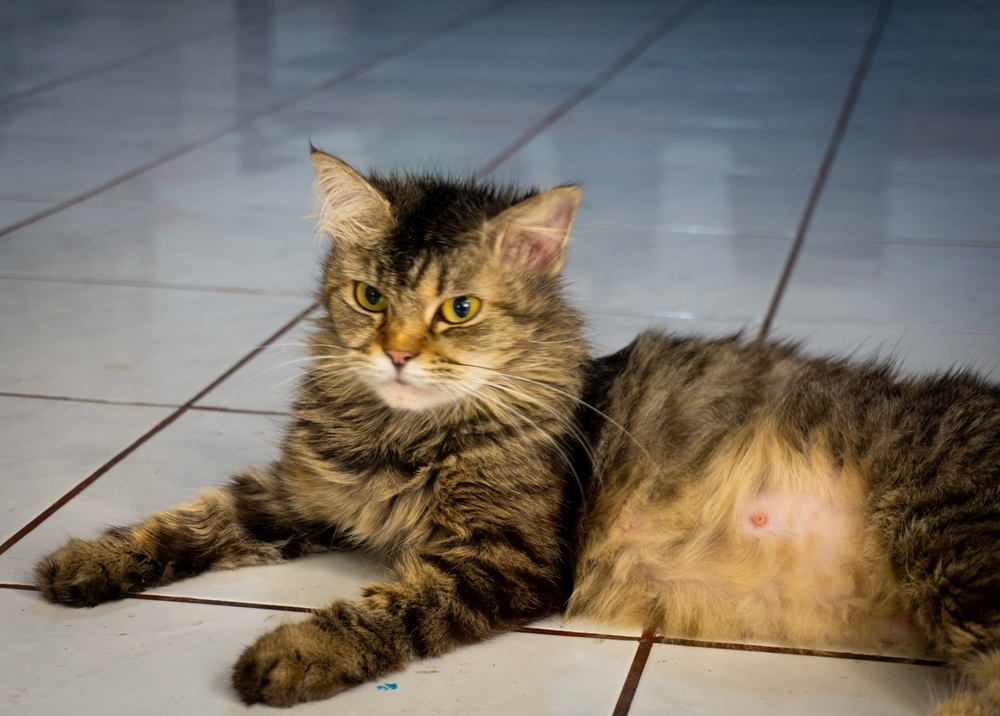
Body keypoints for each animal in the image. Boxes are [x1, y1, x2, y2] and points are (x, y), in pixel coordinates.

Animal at [33, 148, 1000, 712]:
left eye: (457, 310)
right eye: (370, 297)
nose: (396, 354)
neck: (402, 436)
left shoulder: (503, 560)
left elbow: (383, 610)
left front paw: (289, 652)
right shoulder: (301, 494)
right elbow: (186, 521)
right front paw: (88, 563)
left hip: (953, 553)